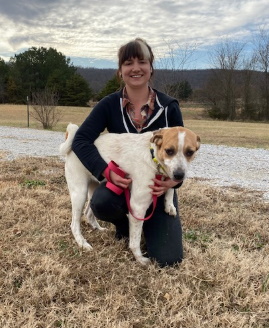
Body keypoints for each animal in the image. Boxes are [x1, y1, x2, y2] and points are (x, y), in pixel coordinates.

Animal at [60, 124, 199, 266]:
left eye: (190, 152)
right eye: (169, 151)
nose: (179, 175)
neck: (152, 156)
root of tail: (72, 142)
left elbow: (170, 187)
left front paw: (169, 205)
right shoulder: (138, 207)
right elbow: (135, 241)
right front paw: (140, 259)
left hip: (93, 188)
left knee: (88, 212)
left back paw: (98, 228)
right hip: (79, 193)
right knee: (74, 224)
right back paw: (82, 243)